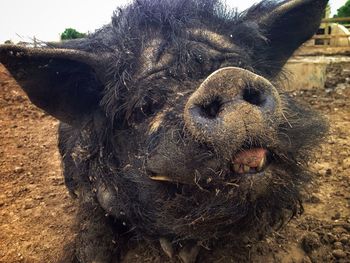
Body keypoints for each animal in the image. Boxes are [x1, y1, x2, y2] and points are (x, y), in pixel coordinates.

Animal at [0, 0, 328, 262]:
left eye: (244, 66)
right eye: (145, 106)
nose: (227, 78)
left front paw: (182, 252)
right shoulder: (88, 192)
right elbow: (93, 237)